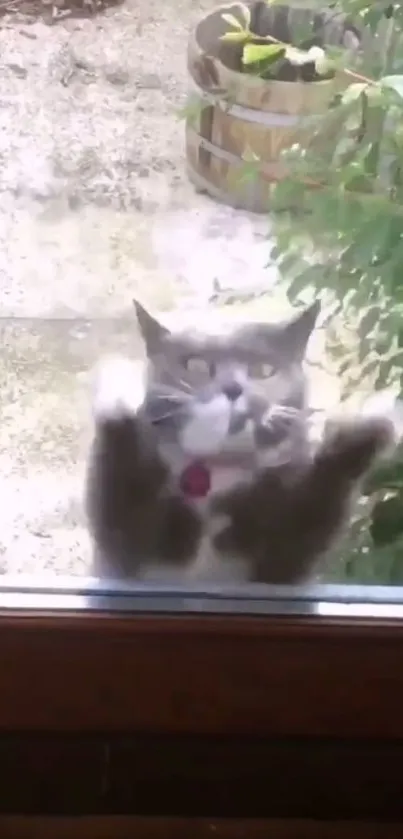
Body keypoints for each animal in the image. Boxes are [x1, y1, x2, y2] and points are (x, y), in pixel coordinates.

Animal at [86, 300, 400, 584]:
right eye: (197, 365)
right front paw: (120, 385)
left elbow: (314, 510)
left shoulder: (286, 556)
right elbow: (120, 503)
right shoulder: (126, 545)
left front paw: (379, 412)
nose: (233, 388)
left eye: (263, 369)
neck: (217, 476)